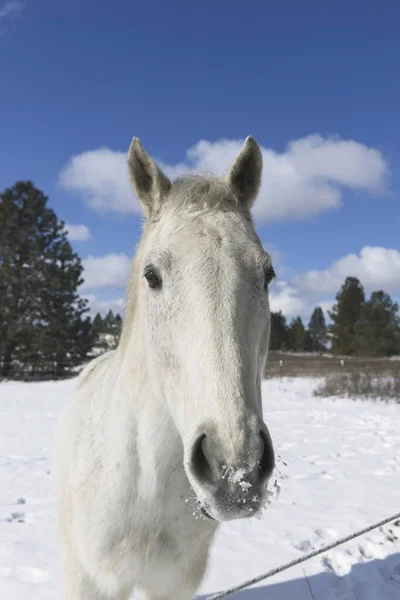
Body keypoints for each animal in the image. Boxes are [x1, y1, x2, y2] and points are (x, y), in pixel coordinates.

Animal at [53, 136, 276, 600]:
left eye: (267, 274)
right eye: (152, 276)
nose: (235, 471)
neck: (144, 491)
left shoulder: (174, 585)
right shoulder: (88, 581)